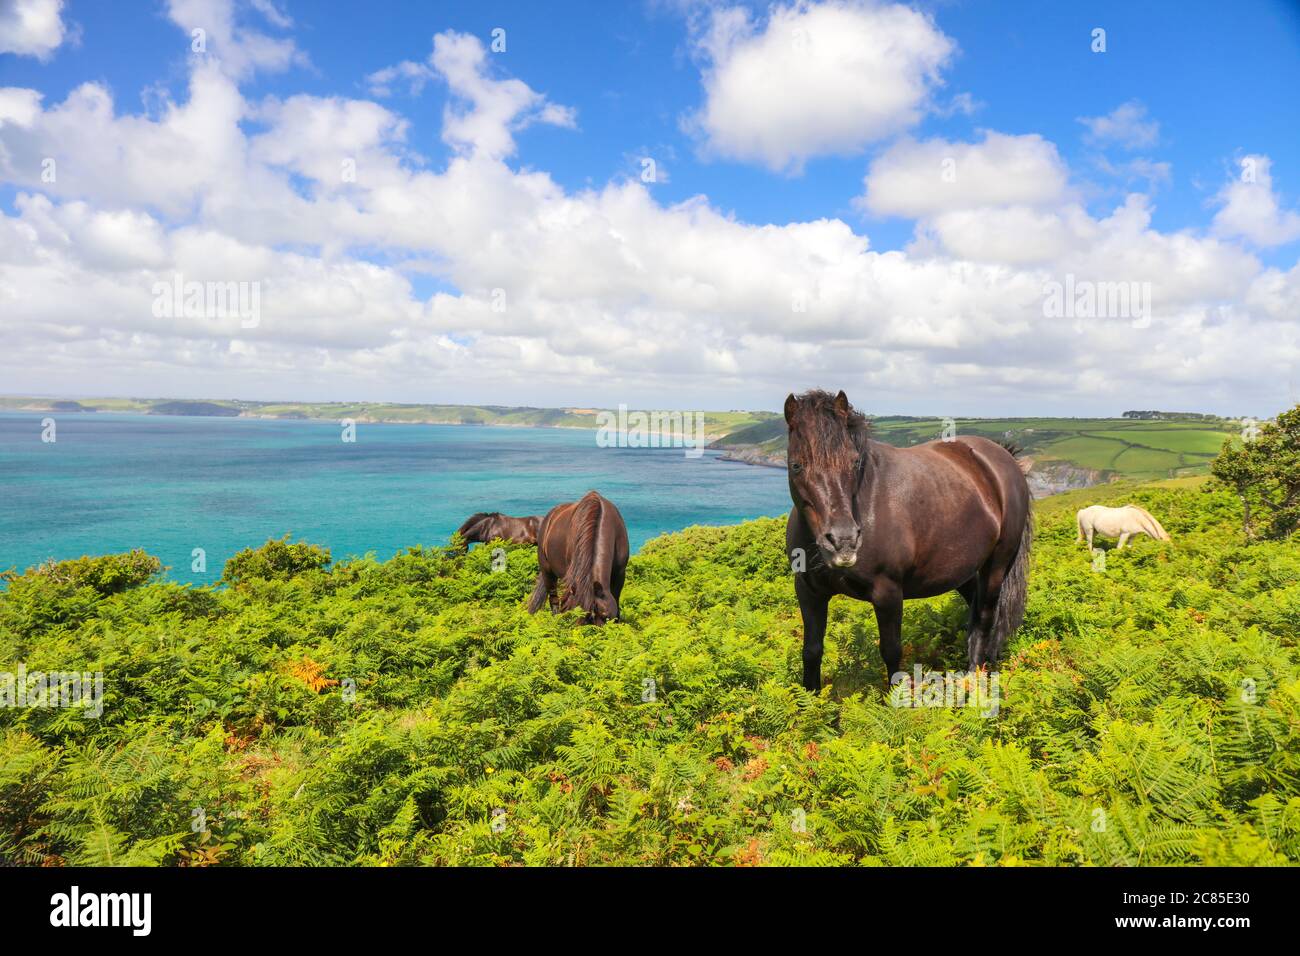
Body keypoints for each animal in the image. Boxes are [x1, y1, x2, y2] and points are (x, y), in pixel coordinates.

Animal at [784, 389, 1033, 692]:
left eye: (854, 462)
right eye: (796, 465)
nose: (844, 542)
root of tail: (1003, 458)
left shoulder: (888, 592)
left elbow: (891, 652)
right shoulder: (809, 590)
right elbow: (811, 651)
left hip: (995, 566)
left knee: (985, 617)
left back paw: (974, 680)